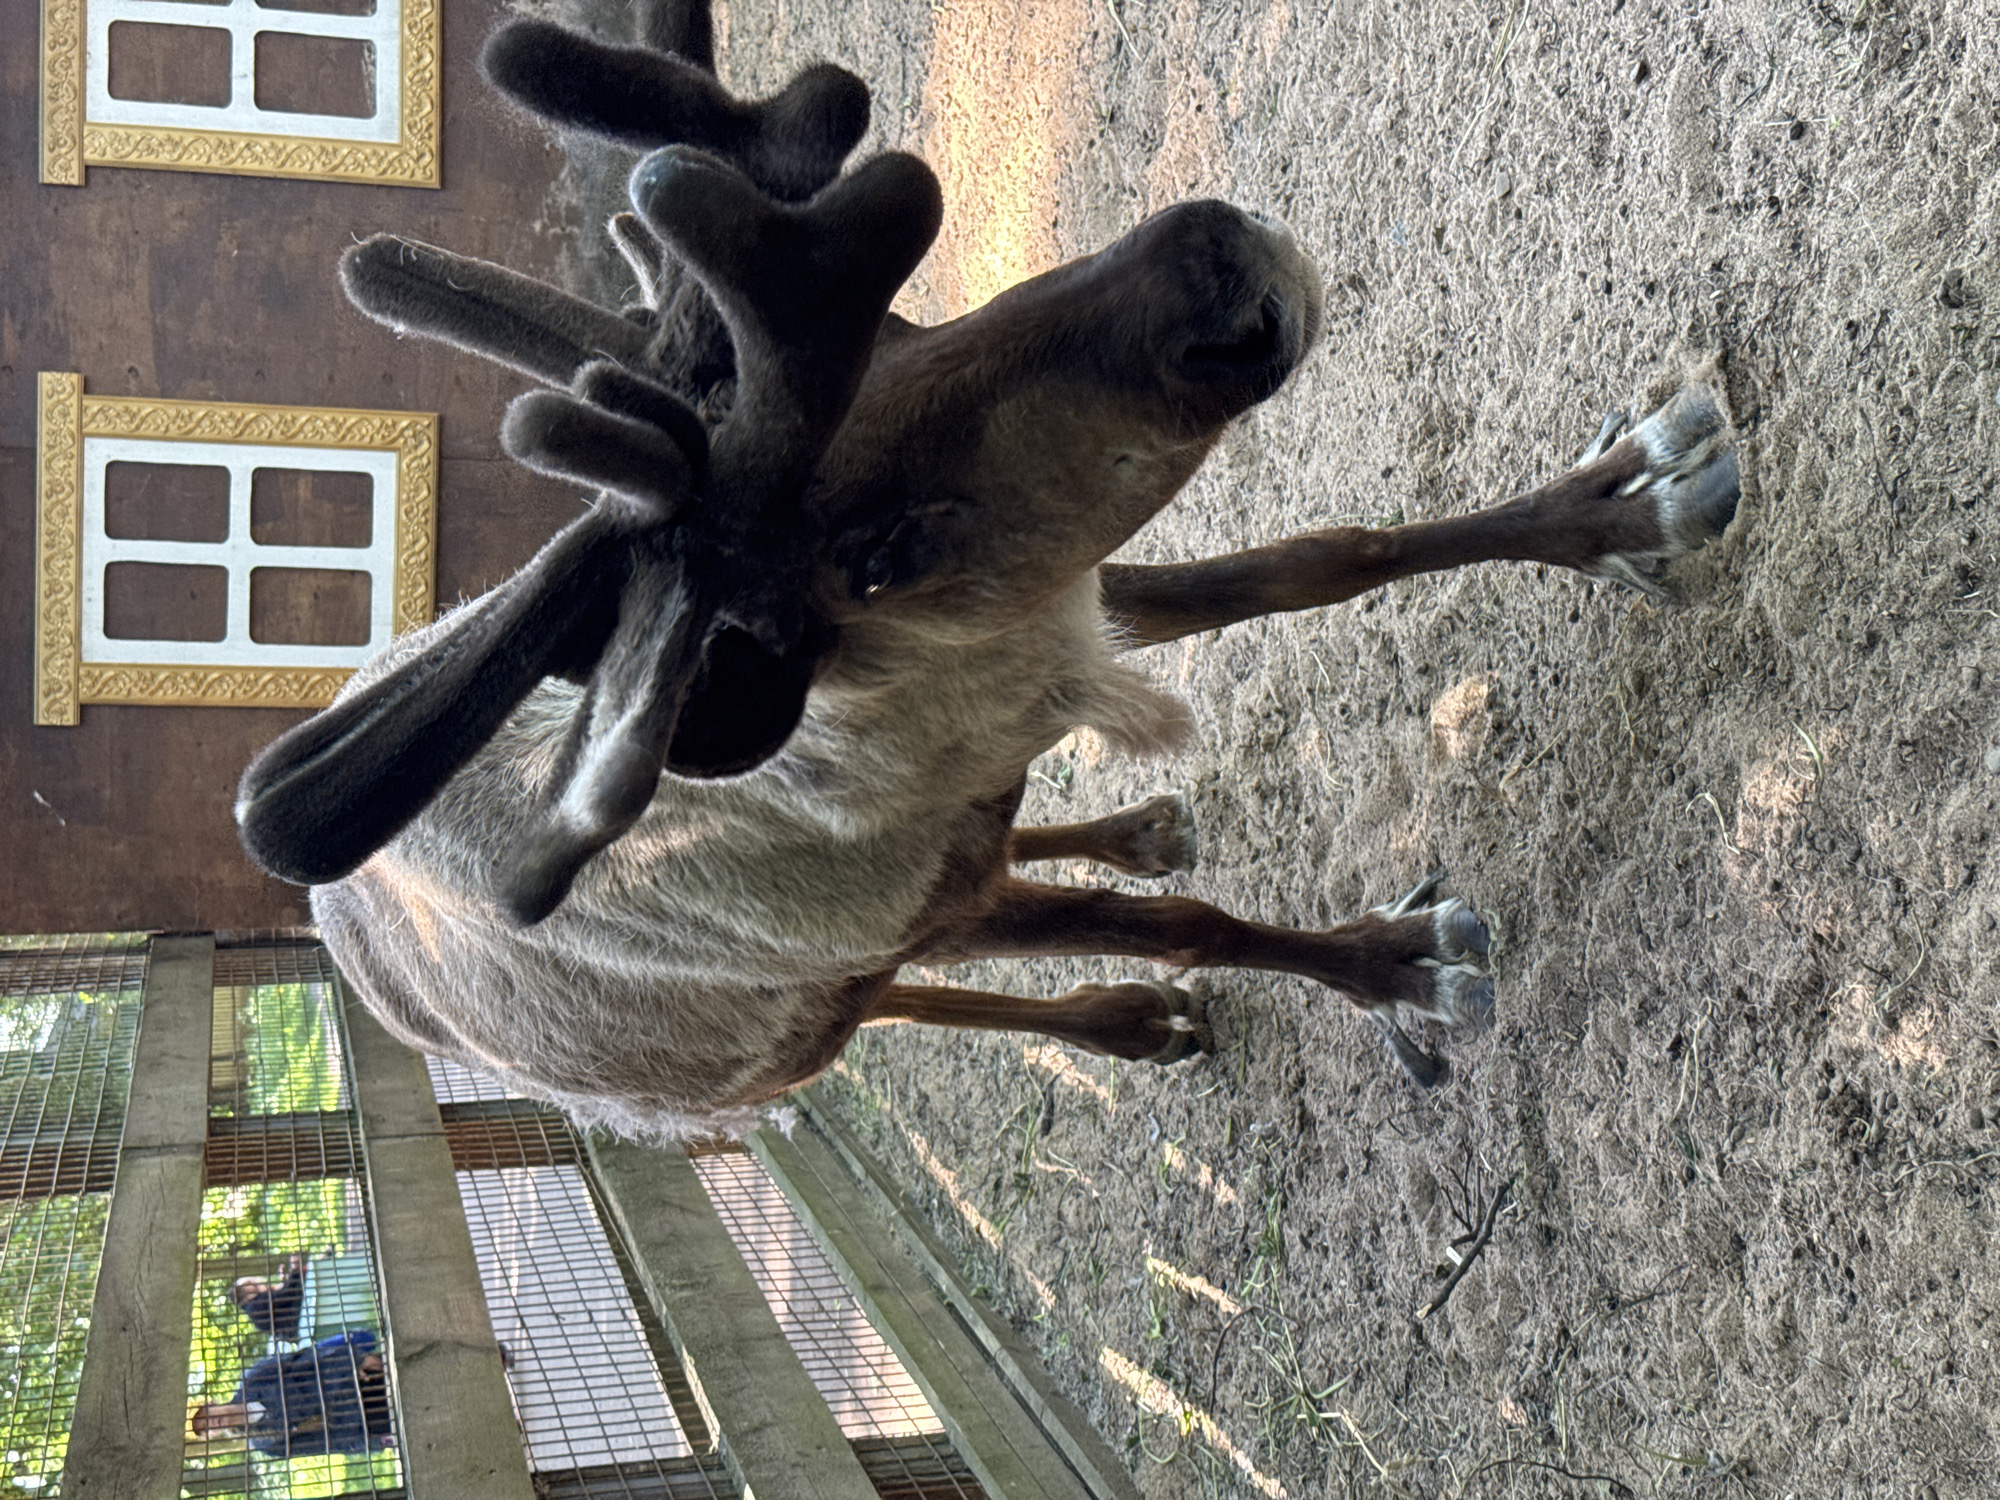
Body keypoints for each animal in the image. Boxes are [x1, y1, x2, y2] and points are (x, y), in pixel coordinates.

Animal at [235, 1, 1741, 1139]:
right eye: (879, 553)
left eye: (908, 319)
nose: (1214, 260)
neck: (927, 734)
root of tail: (336, 925)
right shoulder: (939, 898)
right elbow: (1192, 927)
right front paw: (1390, 966)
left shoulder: (1061, 605)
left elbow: (1310, 561)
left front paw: (1616, 508)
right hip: (787, 1040)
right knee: (903, 1008)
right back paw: (1122, 1022)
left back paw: (1130, 827)